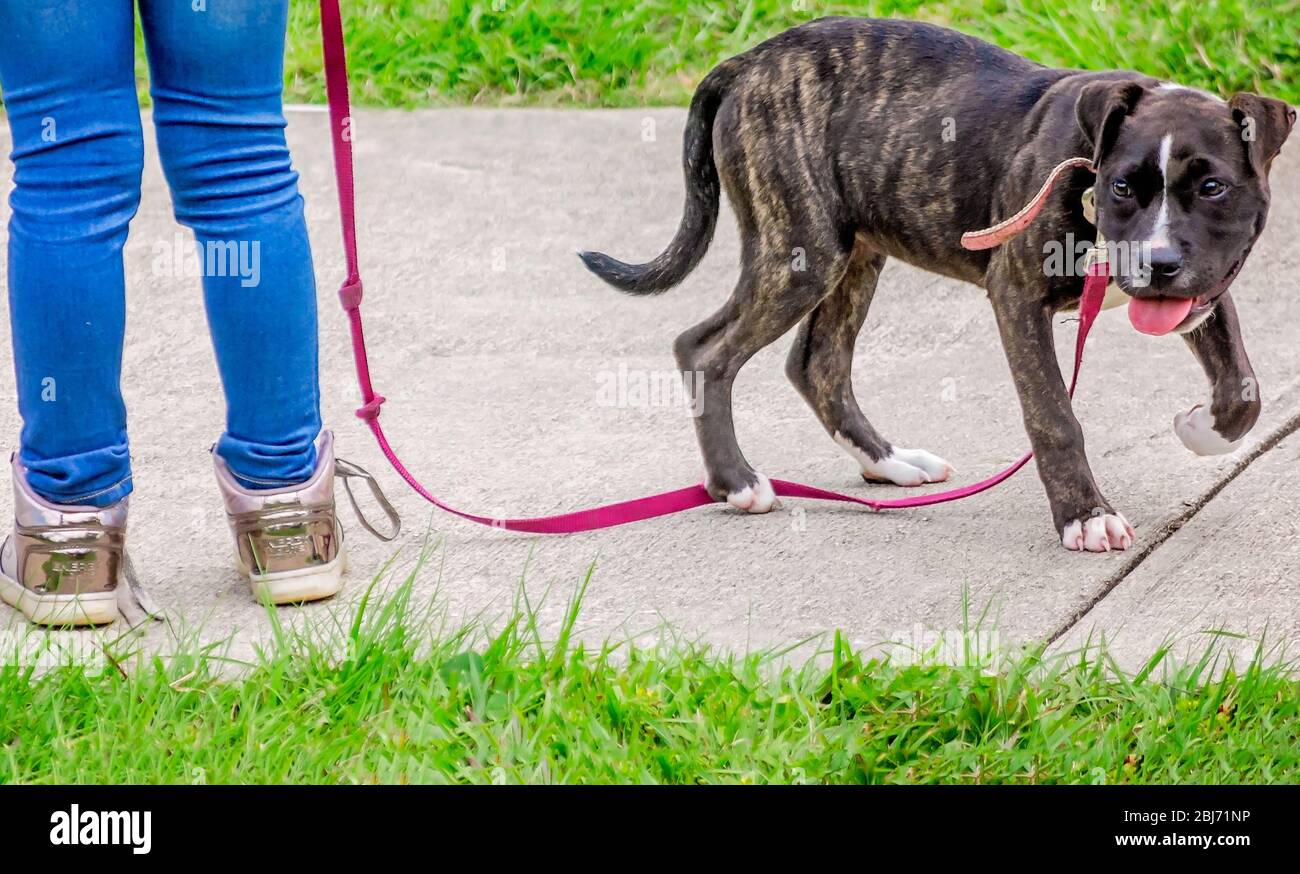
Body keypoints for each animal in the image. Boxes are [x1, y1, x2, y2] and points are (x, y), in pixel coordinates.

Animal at [585, 15, 1294, 554]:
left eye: (1212, 187)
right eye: (1122, 187)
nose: (1157, 262)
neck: (1086, 168)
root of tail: (747, 61)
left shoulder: (1204, 288)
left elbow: (1243, 386)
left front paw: (1201, 428)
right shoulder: (1016, 296)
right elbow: (1054, 416)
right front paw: (1086, 517)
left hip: (853, 253)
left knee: (816, 362)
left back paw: (889, 461)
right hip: (800, 251)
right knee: (705, 348)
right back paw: (736, 483)